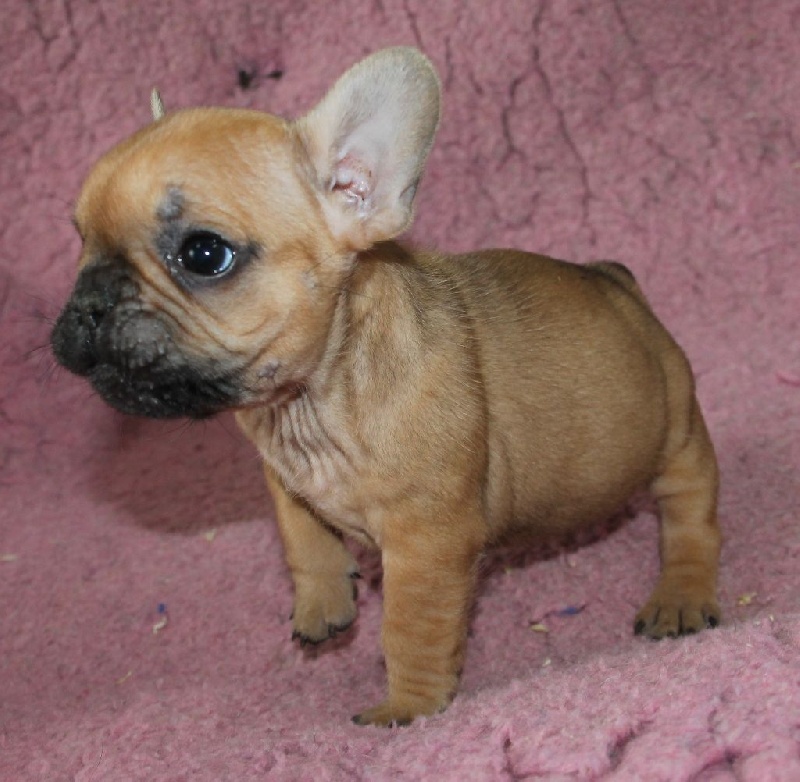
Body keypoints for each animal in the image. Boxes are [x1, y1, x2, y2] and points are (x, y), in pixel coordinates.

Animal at [51, 47, 721, 726]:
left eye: (204, 254)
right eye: (79, 240)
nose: (90, 303)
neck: (318, 397)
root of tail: (616, 281)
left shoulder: (427, 544)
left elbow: (411, 628)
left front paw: (406, 711)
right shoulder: (283, 477)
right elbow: (302, 537)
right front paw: (323, 603)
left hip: (677, 428)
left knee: (691, 514)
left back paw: (681, 595)